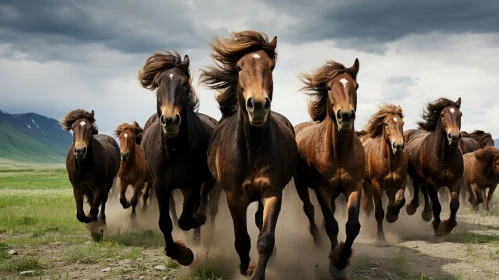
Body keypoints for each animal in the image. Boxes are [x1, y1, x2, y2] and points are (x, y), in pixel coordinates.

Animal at [141, 50, 219, 266]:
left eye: (184, 83)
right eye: (157, 84)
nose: (170, 120)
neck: (174, 151)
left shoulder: (191, 185)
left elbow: (187, 219)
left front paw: (187, 250)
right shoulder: (160, 185)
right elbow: (165, 222)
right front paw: (178, 252)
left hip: (206, 182)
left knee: (203, 207)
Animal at [199, 30, 296, 280]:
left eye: (271, 66)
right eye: (239, 67)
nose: (258, 105)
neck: (251, 151)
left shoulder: (272, 192)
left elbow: (265, 239)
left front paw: (258, 272)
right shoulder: (234, 196)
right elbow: (242, 238)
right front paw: (246, 267)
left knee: (260, 221)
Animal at [294, 58, 366, 278]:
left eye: (356, 86)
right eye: (328, 87)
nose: (346, 116)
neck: (339, 153)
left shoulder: (354, 186)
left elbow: (352, 226)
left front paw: (341, 260)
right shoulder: (322, 188)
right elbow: (332, 225)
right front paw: (335, 265)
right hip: (300, 184)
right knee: (309, 209)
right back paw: (318, 238)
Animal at [362, 104, 408, 245]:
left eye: (402, 123)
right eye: (386, 124)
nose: (398, 145)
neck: (390, 161)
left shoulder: (401, 181)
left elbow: (400, 200)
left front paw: (392, 215)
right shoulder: (377, 185)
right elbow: (379, 212)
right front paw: (381, 238)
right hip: (366, 183)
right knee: (367, 206)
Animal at [406, 97, 464, 235]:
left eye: (460, 114)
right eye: (442, 115)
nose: (454, 137)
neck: (444, 157)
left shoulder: (456, 181)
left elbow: (454, 204)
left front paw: (448, 225)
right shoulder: (432, 182)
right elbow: (437, 205)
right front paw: (437, 226)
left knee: (422, 187)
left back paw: (426, 213)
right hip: (415, 174)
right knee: (417, 186)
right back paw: (413, 208)